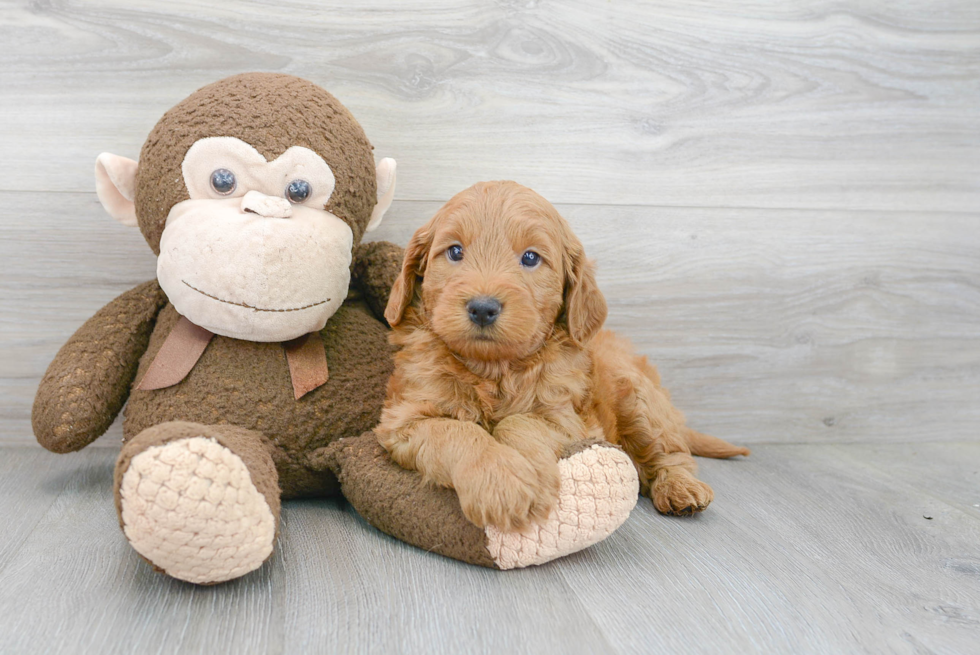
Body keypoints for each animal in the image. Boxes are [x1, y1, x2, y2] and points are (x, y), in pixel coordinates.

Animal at [378, 182, 748, 532]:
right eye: (455, 251)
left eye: (530, 258)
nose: (483, 308)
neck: (495, 369)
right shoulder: (405, 418)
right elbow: (456, 431)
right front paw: (501, 483)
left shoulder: (567, 420)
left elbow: (519, 422)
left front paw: (529, 471)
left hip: (640, 400)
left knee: (671, 453)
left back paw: (680, 488)